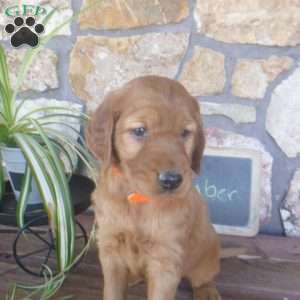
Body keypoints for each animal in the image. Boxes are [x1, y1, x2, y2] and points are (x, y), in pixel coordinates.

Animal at [86, 75, 220, 300]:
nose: (172, 180)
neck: (137, 199)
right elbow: (113, 291)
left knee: (203, 277)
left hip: (208, 252)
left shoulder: (166, 259)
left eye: (185, 133)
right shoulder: (110, 247)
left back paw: (207, 291)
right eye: (140, 130)